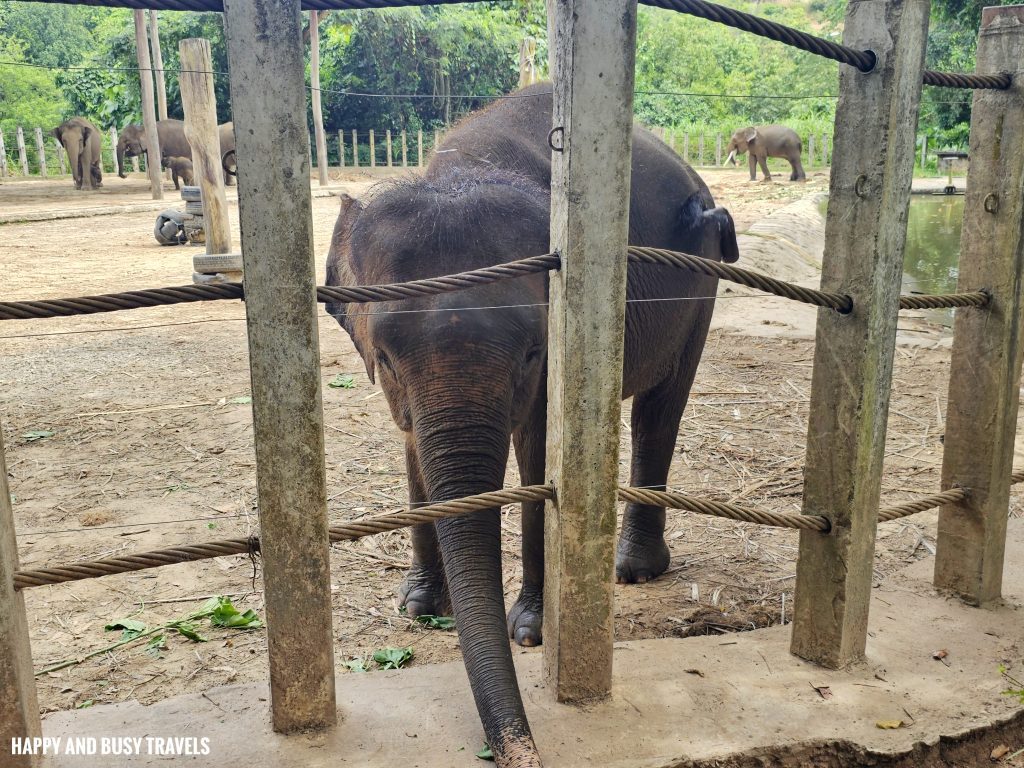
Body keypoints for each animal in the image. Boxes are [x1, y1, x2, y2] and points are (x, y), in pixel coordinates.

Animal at [325, 79, 737, 768]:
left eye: (531, 353)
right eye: (382, 357)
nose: (519, 747)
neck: (462, 170)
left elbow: (540, 458)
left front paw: (531, 632)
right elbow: (411, 451)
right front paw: (417, 606)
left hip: (700, 275)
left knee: (660, 410)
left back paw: (633, 571)